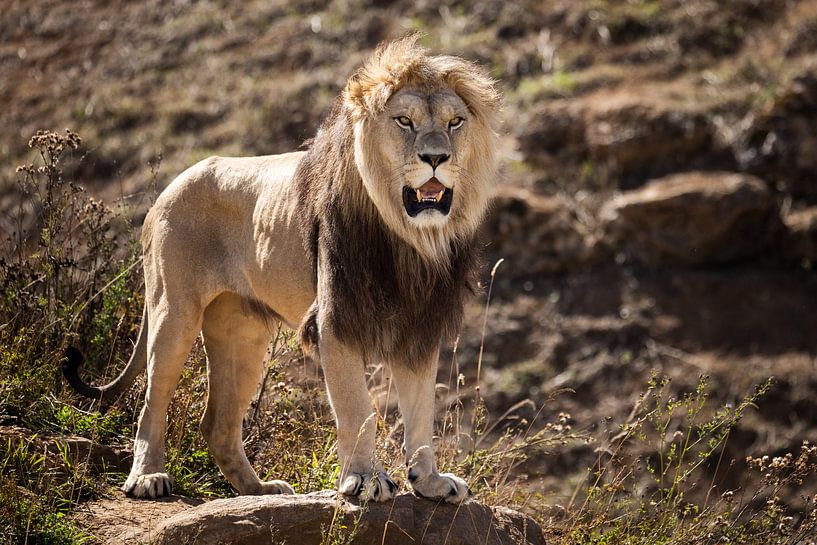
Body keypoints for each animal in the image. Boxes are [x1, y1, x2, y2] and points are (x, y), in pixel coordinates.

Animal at [63, 36, 500, 504]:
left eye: (455, 122)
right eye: (404, 121)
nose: (436, 157)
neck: (409, 239)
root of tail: (168, 188)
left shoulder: (419, 326)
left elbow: (421, 414)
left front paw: (430, 481)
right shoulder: (335, 320)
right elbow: (357, 408)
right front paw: (364, 479)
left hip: (242, 333)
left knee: (216, 424)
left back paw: (260, 490)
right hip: (173, 312)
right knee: (152, 399)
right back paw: (147, 477)